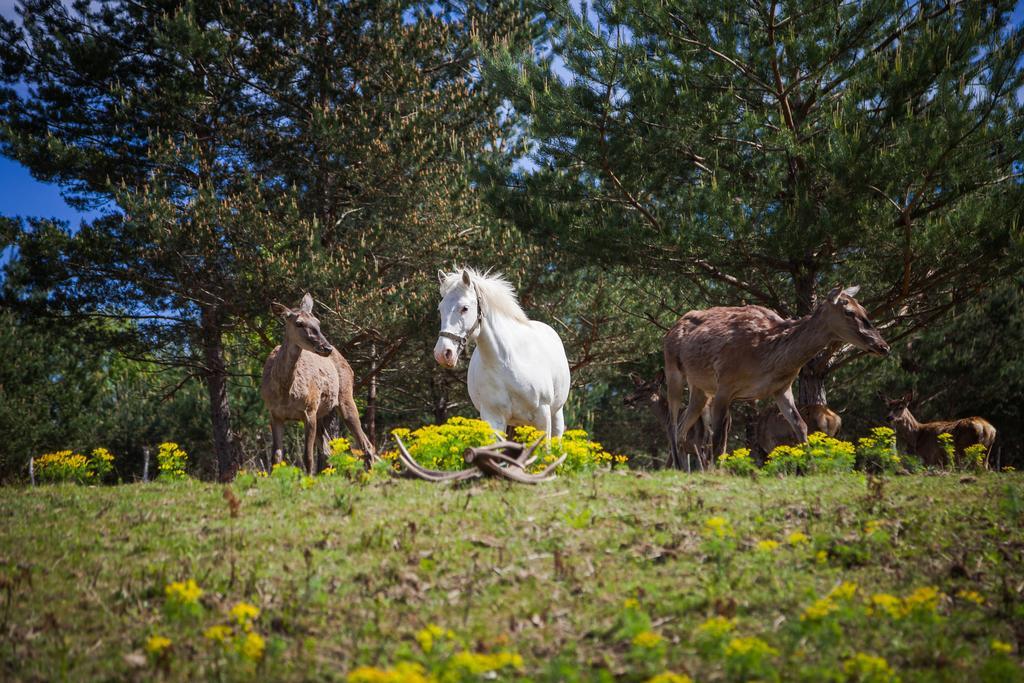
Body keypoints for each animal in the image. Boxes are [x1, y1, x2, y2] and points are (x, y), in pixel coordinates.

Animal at [260, 294, 376, 475]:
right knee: (329, 449)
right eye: (299, 323)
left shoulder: (309, 410)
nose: (326, 348)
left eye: (318, 322)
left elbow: (308, 457)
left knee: (366, 445)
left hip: (345, 396)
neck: (284, 392)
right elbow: (276, 457)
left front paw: (308, 478)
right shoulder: (274, 414)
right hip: (322, 412)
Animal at [432, 264, 573, 440]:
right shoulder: (493, 418)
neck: (505, 362)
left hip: (556, 416)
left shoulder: (543, 415)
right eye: (440, 309)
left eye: (464, 308)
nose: (443, 353)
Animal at [663, 286, 888, 466]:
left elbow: (801, 427)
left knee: (682, 429)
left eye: (865, 310)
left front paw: (813, 469)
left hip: (699, 387)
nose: (883, 346)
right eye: (849, 311)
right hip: (673, 370)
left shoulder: (781, 388)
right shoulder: (725, 385)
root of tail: (670, 329)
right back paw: (677, 467)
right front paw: (716, 472)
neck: (769, 359)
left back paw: (681, 468)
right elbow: (717, 438)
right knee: (673, 424)